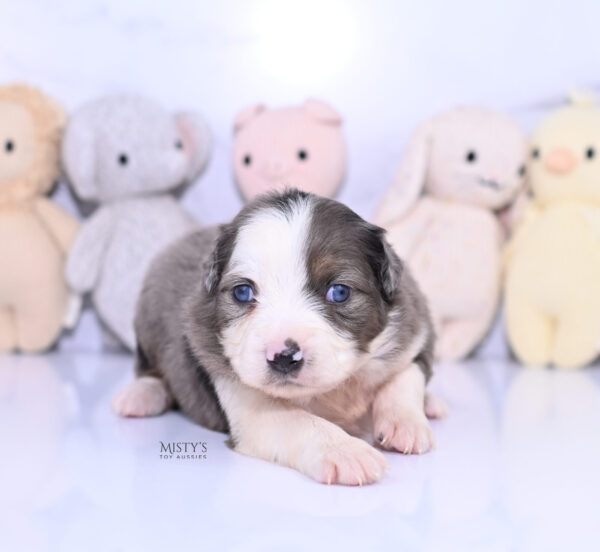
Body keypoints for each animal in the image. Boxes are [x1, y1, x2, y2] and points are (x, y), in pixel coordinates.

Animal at [113, 192, 440, 486]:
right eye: (243, 292)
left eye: (339, 292)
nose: (284, 356)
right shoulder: (243, 401)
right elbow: (297, 421)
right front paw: (344, 451)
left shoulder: (414, 330)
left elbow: (406, 376)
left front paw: (405, 423)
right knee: (152, 370)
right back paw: (140, 395)